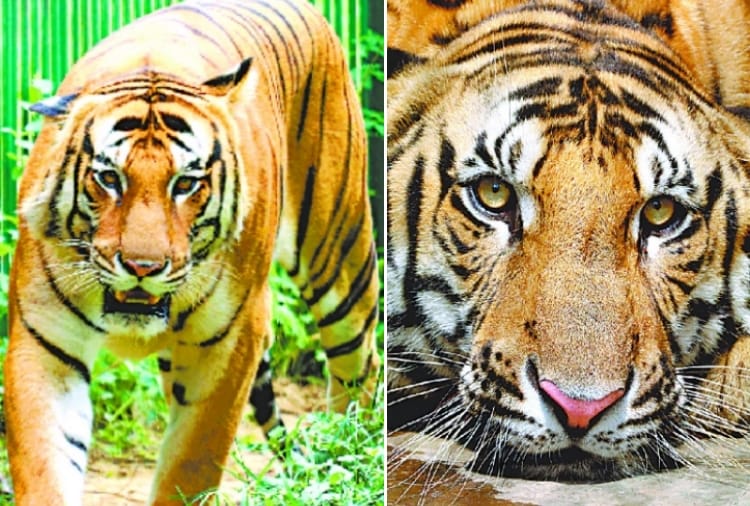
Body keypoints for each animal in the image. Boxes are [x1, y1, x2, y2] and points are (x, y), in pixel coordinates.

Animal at [4, 0, 380, 504]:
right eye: (109, 178)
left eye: (185, 183)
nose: (142, 266)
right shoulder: (45, 343)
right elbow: (47, 462)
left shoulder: (232, 340)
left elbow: (192, 460)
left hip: (340, 254)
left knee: (359, 368)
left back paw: (348, 457)